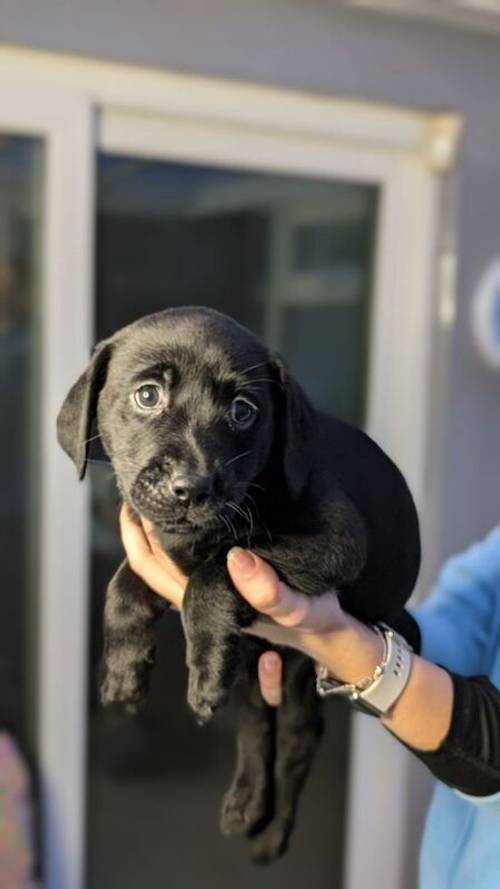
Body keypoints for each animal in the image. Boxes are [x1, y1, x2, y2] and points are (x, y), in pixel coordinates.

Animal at [56, 308, 420, 864]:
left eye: (243, 411)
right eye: (147, 395)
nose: (193, 488)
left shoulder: (334, 542)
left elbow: (218, 567)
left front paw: (201, 664)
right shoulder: (162, 554)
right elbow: (123, 589)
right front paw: (123, 672)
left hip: (293, 681)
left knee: (293, 748)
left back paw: (270, 836)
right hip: (258, 668)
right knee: (255, 727)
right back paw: (245, 803)